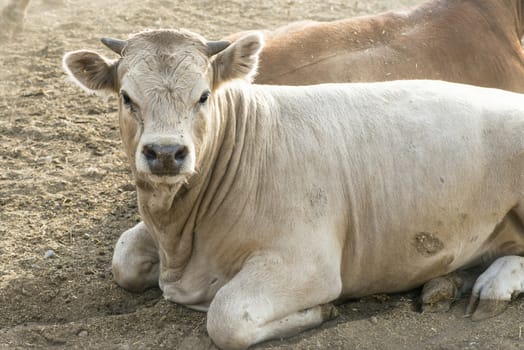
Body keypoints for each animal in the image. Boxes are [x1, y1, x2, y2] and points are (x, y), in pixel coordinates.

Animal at [63, 28, 524, 348]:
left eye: (204, 96)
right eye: (126, 97)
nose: (164, 153)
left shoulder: (308, 263)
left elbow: (226, 316)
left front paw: (321, 310)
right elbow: (123, 258)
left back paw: (493, 286)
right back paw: (446, 283)